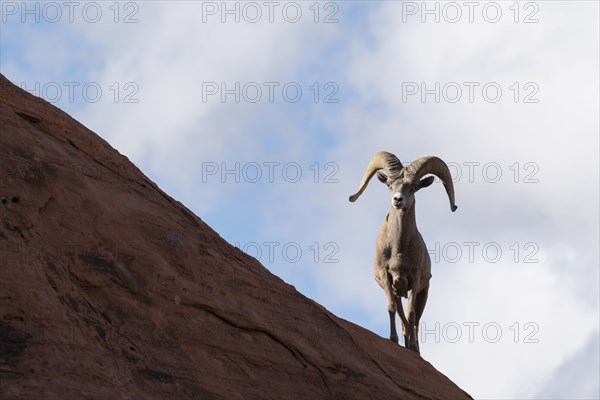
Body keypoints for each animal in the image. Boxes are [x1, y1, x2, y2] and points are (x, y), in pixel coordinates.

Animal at [346, 151, 454, 354]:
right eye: (389, 185)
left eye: (413, 188)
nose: (397, 200)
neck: (398, 250)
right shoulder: (387, 277)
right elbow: (391, 308)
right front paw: (393, 340)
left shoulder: (415, 280)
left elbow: (412, 315)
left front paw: (412, 347)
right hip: (399, 293)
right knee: (403, 318)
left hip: (423, 293)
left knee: (415, 321)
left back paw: (416, 350)